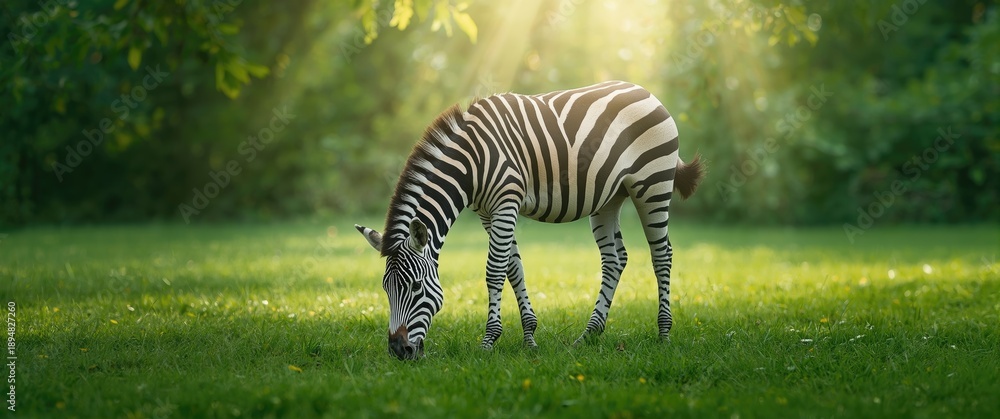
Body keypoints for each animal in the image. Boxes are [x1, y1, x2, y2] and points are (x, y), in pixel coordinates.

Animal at [355, 80, 705, 360]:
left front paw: (488, 341)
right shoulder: (488, 212)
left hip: (652, 184)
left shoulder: (506, 203)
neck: (471, 162)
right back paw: (588, 334)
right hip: (609, 197)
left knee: (662, 255)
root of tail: (645, 91)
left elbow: (495, 271)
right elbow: (514, 268)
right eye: (385, 288)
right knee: (615, 259)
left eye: (415, 287)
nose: (398, 351)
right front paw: (529, 337)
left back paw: (663, 334)